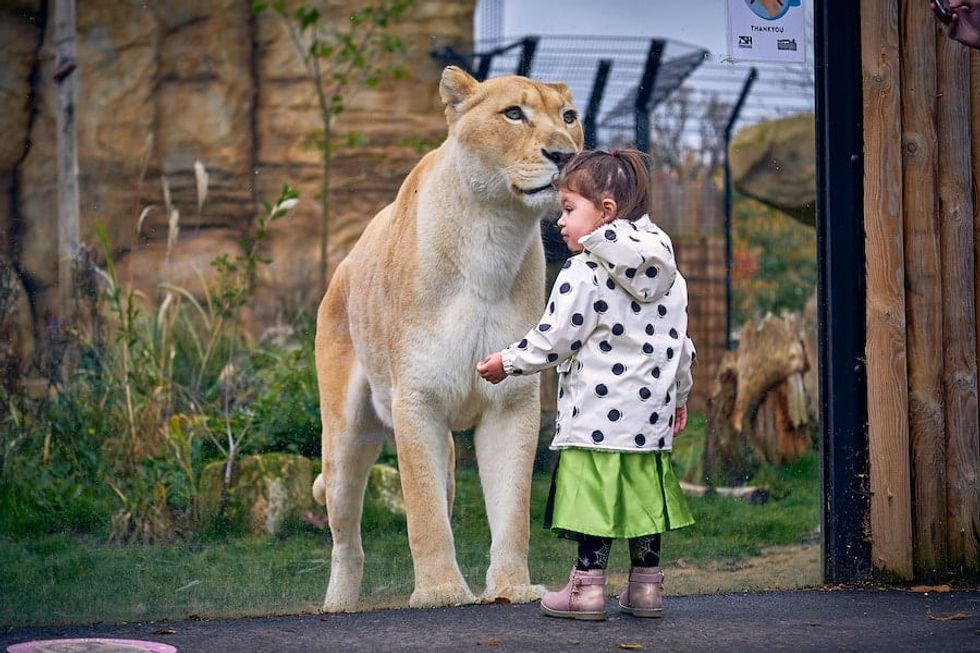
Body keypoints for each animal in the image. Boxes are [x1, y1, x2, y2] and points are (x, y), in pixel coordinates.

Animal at [311, 66, 583, 611]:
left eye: (568, 117)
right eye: (513, 113)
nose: (564, 154)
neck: (492, 238)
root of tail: (342, 269)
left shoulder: (512, 402)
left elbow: (511, 509)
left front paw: (511, 588)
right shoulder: (417, 402)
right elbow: (424, 512)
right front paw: (441, 592)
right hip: (345, 439)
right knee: (345, 535)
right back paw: (338, 606)